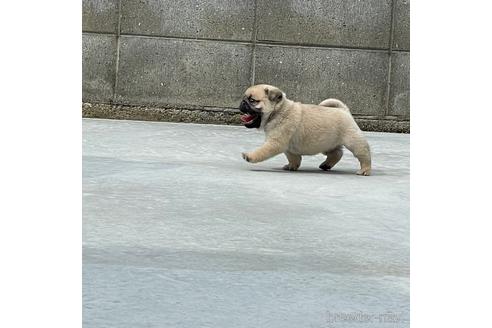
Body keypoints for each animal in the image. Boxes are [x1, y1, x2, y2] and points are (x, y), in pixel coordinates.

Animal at [240, 85, 370, 177]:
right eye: (245, 98)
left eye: (253, 100)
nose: (242, 102)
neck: (278, 111)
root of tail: (344, 110)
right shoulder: (288, 148)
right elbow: (294, 158)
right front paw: (292, 166)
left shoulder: (275, 143)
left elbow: (261, 152)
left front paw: (250, 156)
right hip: (327, 144)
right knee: (337, 154)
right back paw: (326, 165)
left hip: (354, 142)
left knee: (364, 155)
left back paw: (365, 170)